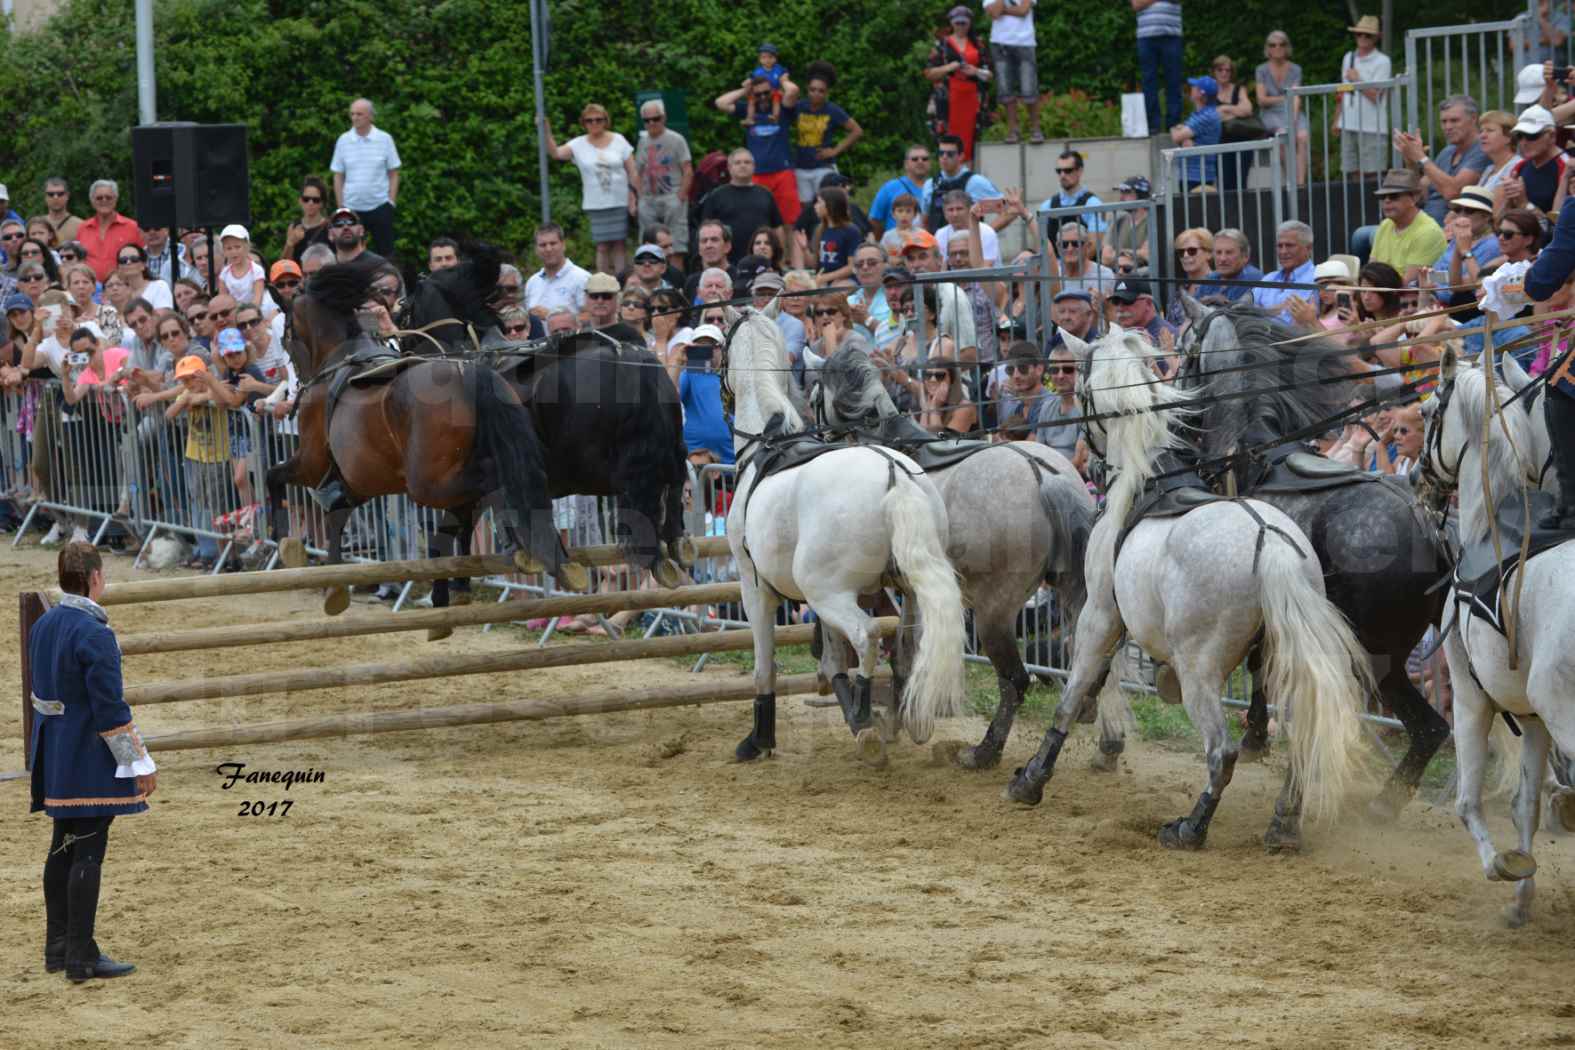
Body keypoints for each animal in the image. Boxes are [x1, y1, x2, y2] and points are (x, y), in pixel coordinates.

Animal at [264, 262, 585, 620]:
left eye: (286, 333)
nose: (298, 385)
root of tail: (470, 373)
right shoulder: (360, 480)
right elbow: (336, 512)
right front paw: (335, 588)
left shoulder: (312, 463)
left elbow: (274, 476)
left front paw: (282, 541)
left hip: (427, 483)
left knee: (491, 486)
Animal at [721, 310, 963, 765]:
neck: (768, 443)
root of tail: (894, 475)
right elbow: (832, 660)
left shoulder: (755, 587)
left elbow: (766, 666)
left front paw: (759, 739)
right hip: (907, 591)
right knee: (906, 646)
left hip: (827, 592)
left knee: (867, 636)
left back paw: (868, 718)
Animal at [1001, 330, 1373, 856]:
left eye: (1079, 388)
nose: (1088, 462)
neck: (1147, 482)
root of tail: (1269, 541)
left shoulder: (1100, 615)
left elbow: (1071, 694)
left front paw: (1031, 779)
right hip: (1287, 661)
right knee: (1303, 742)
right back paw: (1282, 825)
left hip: (1201, 669)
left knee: (1222, 750)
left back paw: (1190, 828)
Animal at [1417, 349, 1575, 925]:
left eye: (1426, 413)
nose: (1416, 476)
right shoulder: (1532, 719)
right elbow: (1524, 804)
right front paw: (1522, 896)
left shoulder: (1471, 698)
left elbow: (1469, 802)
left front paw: (1500, 865)